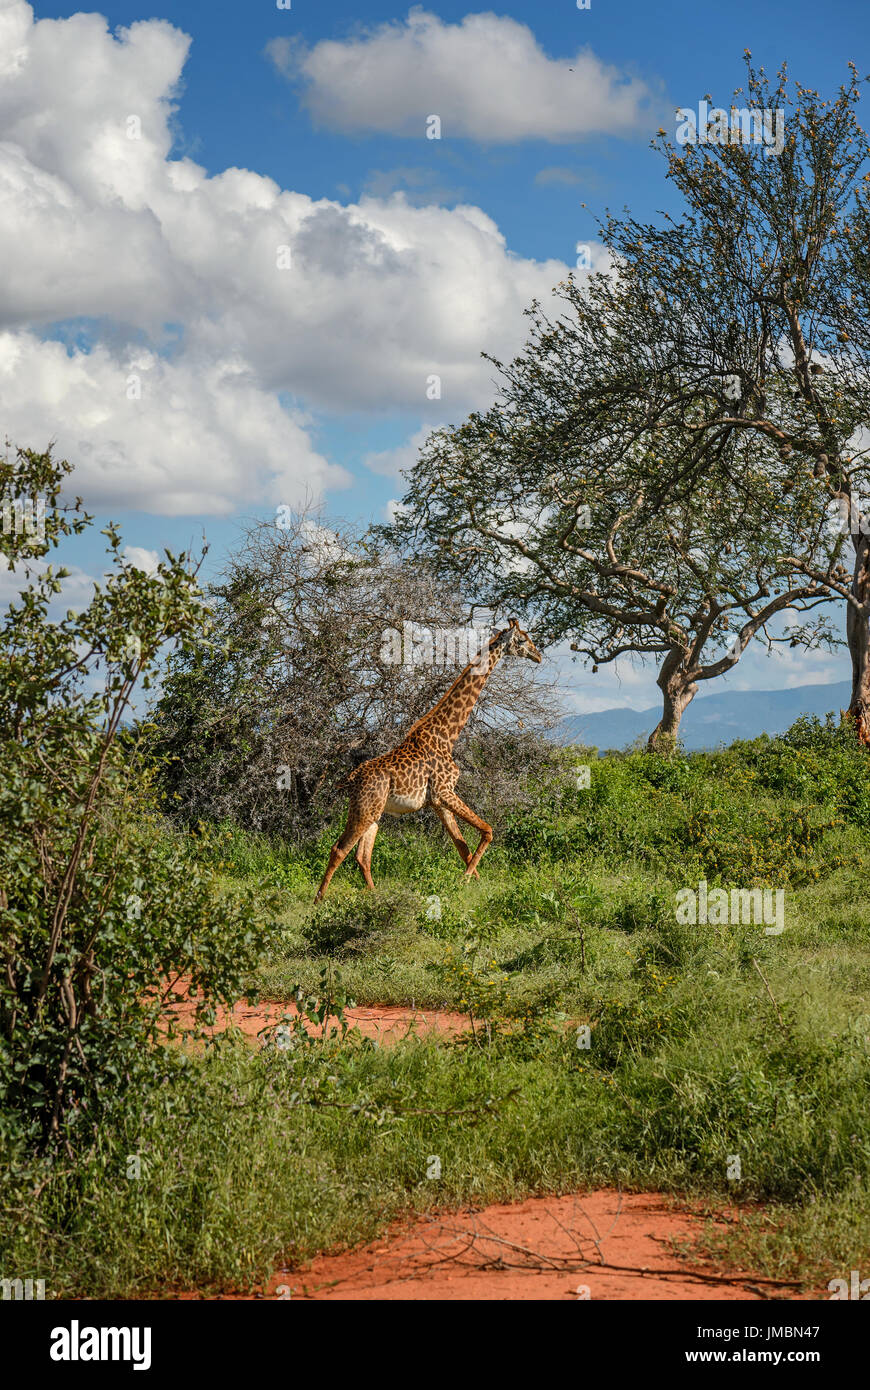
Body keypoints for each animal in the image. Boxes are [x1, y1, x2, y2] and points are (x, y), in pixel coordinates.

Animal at [311, 617, 542, 900]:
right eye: (522, 640)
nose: (538, 656)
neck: (447, 735)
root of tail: (352, 778)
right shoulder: (445, 791)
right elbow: (487, 831)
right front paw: (465, 879)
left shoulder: (438, 801)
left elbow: (461, 846)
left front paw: (471, 883)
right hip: (364, 810)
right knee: (339, 849)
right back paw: (319, 900)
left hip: (373, 813)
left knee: (362, 856)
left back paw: (375, 896)